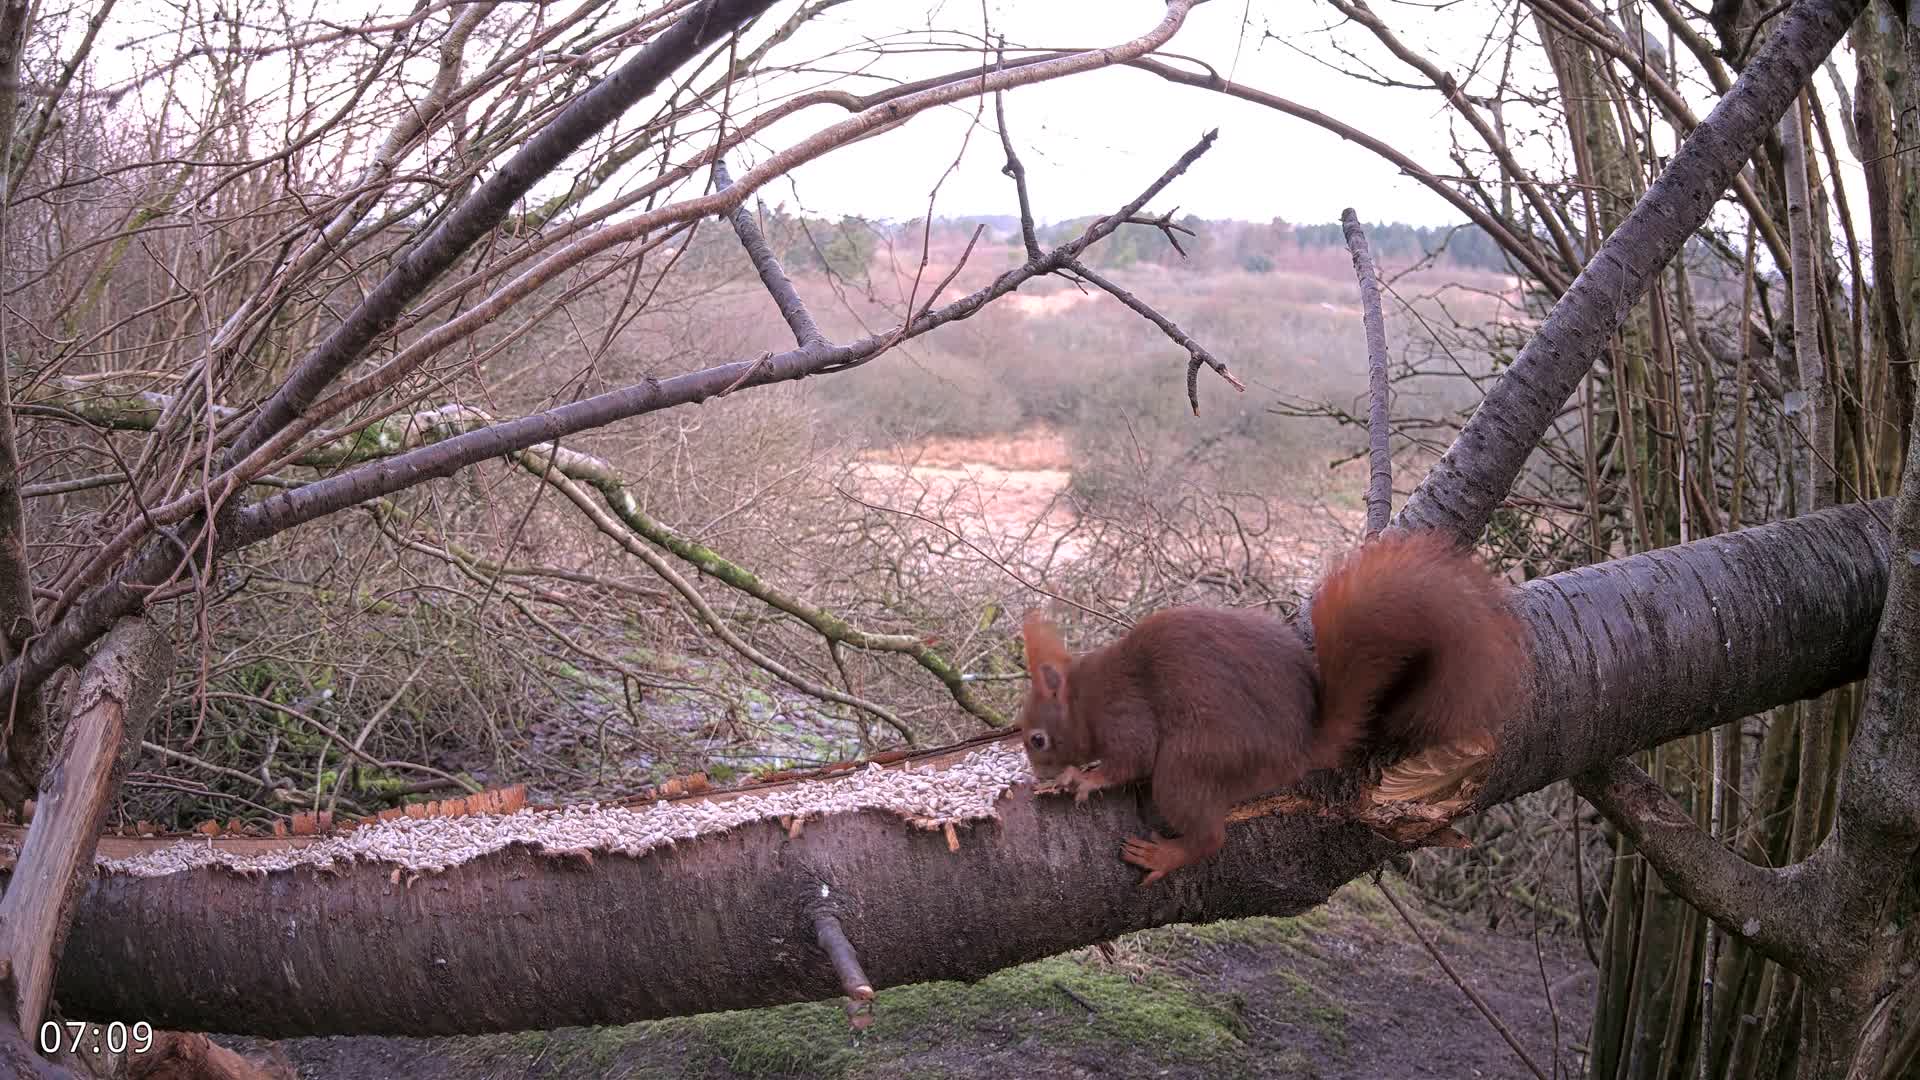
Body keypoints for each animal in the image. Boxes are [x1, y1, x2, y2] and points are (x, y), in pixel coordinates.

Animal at [1016, 529, 1530, 885]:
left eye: (1038, 739)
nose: (1037, 776)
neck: (1087, 696)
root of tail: (1301, 746)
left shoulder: (1126, 713)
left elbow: (1130, 758)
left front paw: (1084, 778)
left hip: (1193, 760)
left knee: (1209, 834)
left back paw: (1164, 856)